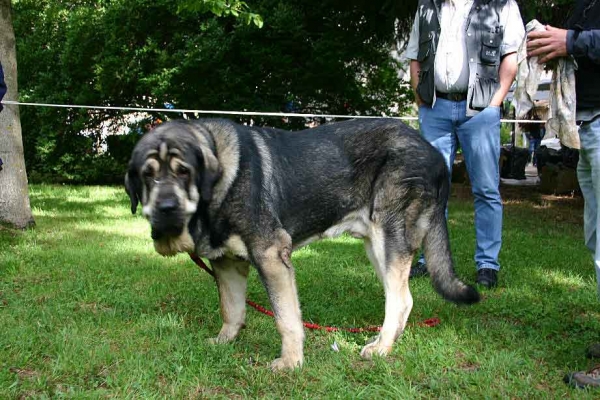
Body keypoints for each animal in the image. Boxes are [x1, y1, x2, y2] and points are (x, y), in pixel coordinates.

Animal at [125, 117, 478, 370]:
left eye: (183, 172)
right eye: (147, 175)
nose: (165, 207)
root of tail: (433, 153)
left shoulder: (270, 254)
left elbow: (286, 318)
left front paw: (291, 362)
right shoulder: (226, 264)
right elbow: (231, 307)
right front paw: (225, 341)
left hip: (389, 237)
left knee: (401, 300)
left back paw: (381, 348)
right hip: (376, 247)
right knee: (399, 298)